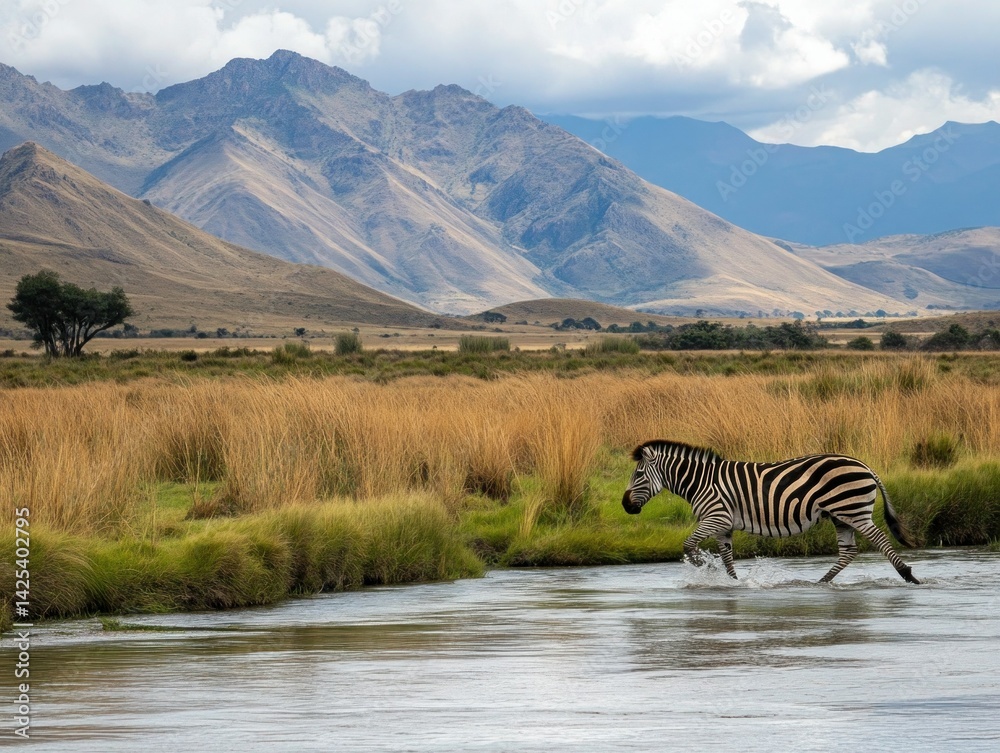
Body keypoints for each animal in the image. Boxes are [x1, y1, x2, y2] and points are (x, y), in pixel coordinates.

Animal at [622, 440, 920, 584]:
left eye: (638, 475)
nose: (625, 506)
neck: (701, 481)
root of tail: (865, 465)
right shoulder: (723, 525)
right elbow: (727, 559)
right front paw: (733, 582)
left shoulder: (716, 517)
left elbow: (688, 545)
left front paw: (705, 568)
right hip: (841, 516)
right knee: (848, 552)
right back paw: (820, 583)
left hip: (854, 511)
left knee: (880, 541)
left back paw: (908, 576)